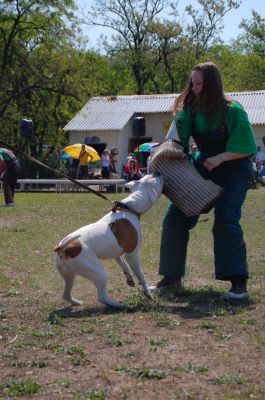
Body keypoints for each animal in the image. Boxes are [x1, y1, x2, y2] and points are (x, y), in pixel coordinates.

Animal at [53, 173, 163, 308]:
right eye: (153, 178)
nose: (157, 173)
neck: (129, 208)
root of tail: (63, 248)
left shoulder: (117, 253)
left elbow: (124, 265)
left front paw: (130, 279)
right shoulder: (131, 255)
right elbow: (141, 275)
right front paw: (148, 293)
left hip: (69, 276)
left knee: (66, 294)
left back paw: (76, 302)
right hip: (98, 272)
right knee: (102, 297)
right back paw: (120, 306)